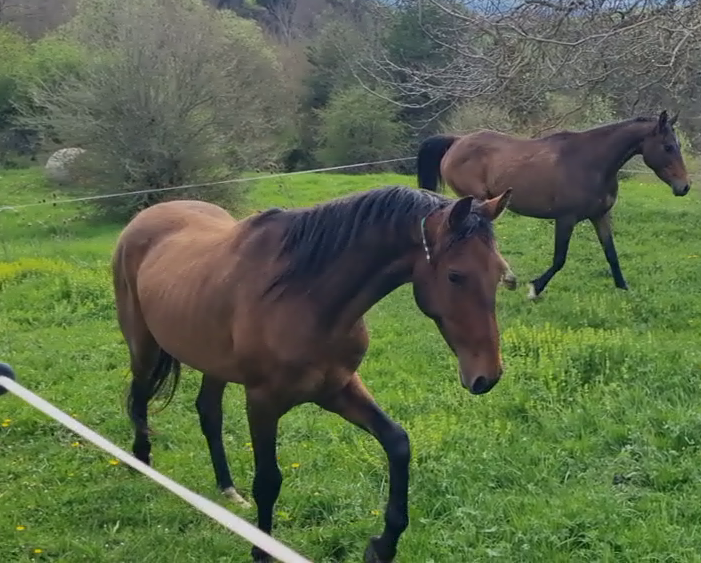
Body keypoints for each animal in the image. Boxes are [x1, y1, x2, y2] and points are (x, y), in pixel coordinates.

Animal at [111, 185, 516, 563]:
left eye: (500, 273)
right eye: (455, 275)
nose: (487, 375)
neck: (303, 294)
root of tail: (145, 218)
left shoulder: (337, 388)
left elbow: (398, 443)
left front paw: (382, 545)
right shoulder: (262, 401)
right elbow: (268, 481)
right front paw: (261, 550)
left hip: (214, 363)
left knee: (208, 413)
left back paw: (228, 490)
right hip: (144, 348)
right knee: (141, 398)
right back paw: (141, 464)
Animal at [416, 110, 692, 299]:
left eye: (677, 145)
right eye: (668, 146)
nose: (685, 187)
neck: (591, 163)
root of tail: (457, 141)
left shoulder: (600, 216)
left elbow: (611, 254)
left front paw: (624, 288)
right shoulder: (566, 218)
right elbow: (560, 259)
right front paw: (534, 289)